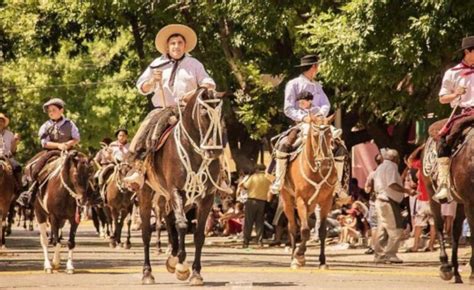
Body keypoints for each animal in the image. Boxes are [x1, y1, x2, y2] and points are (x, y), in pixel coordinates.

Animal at [138, 86, 225, 286]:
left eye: (221, 115)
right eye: (204, 112)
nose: (215, 150)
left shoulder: (207, 197)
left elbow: (199, 234)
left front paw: (195, 273)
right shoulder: (176, 190)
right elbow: (183, 225)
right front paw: (181, 265)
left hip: (173, 199)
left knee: (169, 219)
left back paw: (171, 257)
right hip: (147, 193)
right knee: (147, 232)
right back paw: (147, 273)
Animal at [280, 117, 338, 270]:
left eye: (329, 134)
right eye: (315, 135)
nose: (325, 163)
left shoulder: (326, 201)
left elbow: (322, 231)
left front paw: (322, 261)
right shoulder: (301, 200)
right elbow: (305, 230)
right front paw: (299, 256)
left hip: (311, 206)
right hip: (287, 202)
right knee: (293, 228)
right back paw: (293, 257)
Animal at [420, 129, 472, 284]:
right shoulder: (470, 201)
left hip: (460, 202)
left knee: (455, 230)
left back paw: (456, 271)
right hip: (432, 194)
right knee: (438, 225)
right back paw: (445, 266)